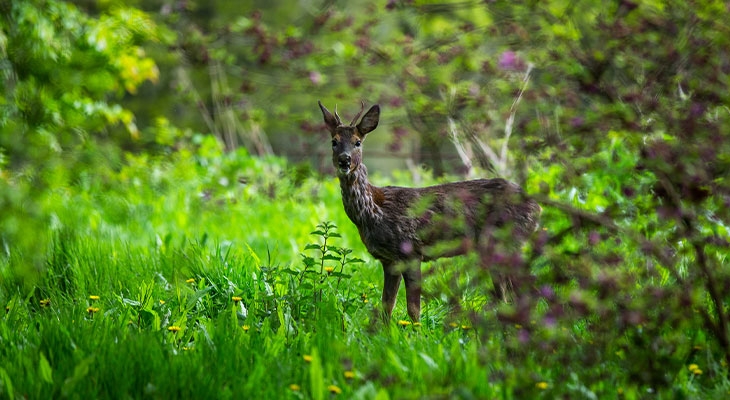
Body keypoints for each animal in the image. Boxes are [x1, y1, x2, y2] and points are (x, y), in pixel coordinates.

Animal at [316, 101, 536, 324]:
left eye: (358, 142)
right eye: (334, 141)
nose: (344, 160)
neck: (374, 211)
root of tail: (537, 207)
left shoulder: (411, 250)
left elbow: (414, 309)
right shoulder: (389, 260)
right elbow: (387, 307)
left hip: (508, 242)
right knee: (507, 297)